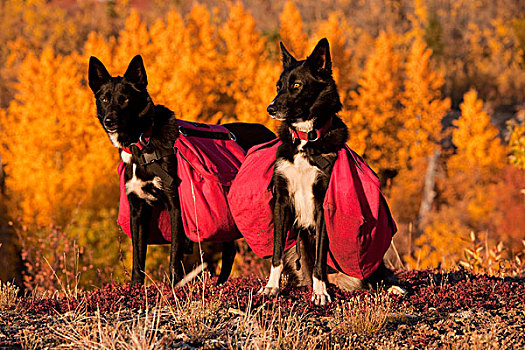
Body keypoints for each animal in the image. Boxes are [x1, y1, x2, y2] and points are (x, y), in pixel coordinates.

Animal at [88, 54, 274, 284]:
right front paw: (135, 290)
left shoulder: (175, 205)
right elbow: (138, 260)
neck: (142, 143)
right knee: (230, 251)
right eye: (104, 99)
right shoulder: (138, 210)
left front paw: (173, 288)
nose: (109, 121)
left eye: (125, 99)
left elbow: (174, 255)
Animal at [260, 39, 400, 304]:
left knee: (374, 279)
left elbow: (319, 259)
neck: (306, 140)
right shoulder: (282, 201)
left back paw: (392, 288)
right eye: (278, 86)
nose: (270, 108)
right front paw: (272, 287)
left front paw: (320, 292)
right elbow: (276, 253)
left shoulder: (323, 204)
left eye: (296, 85)